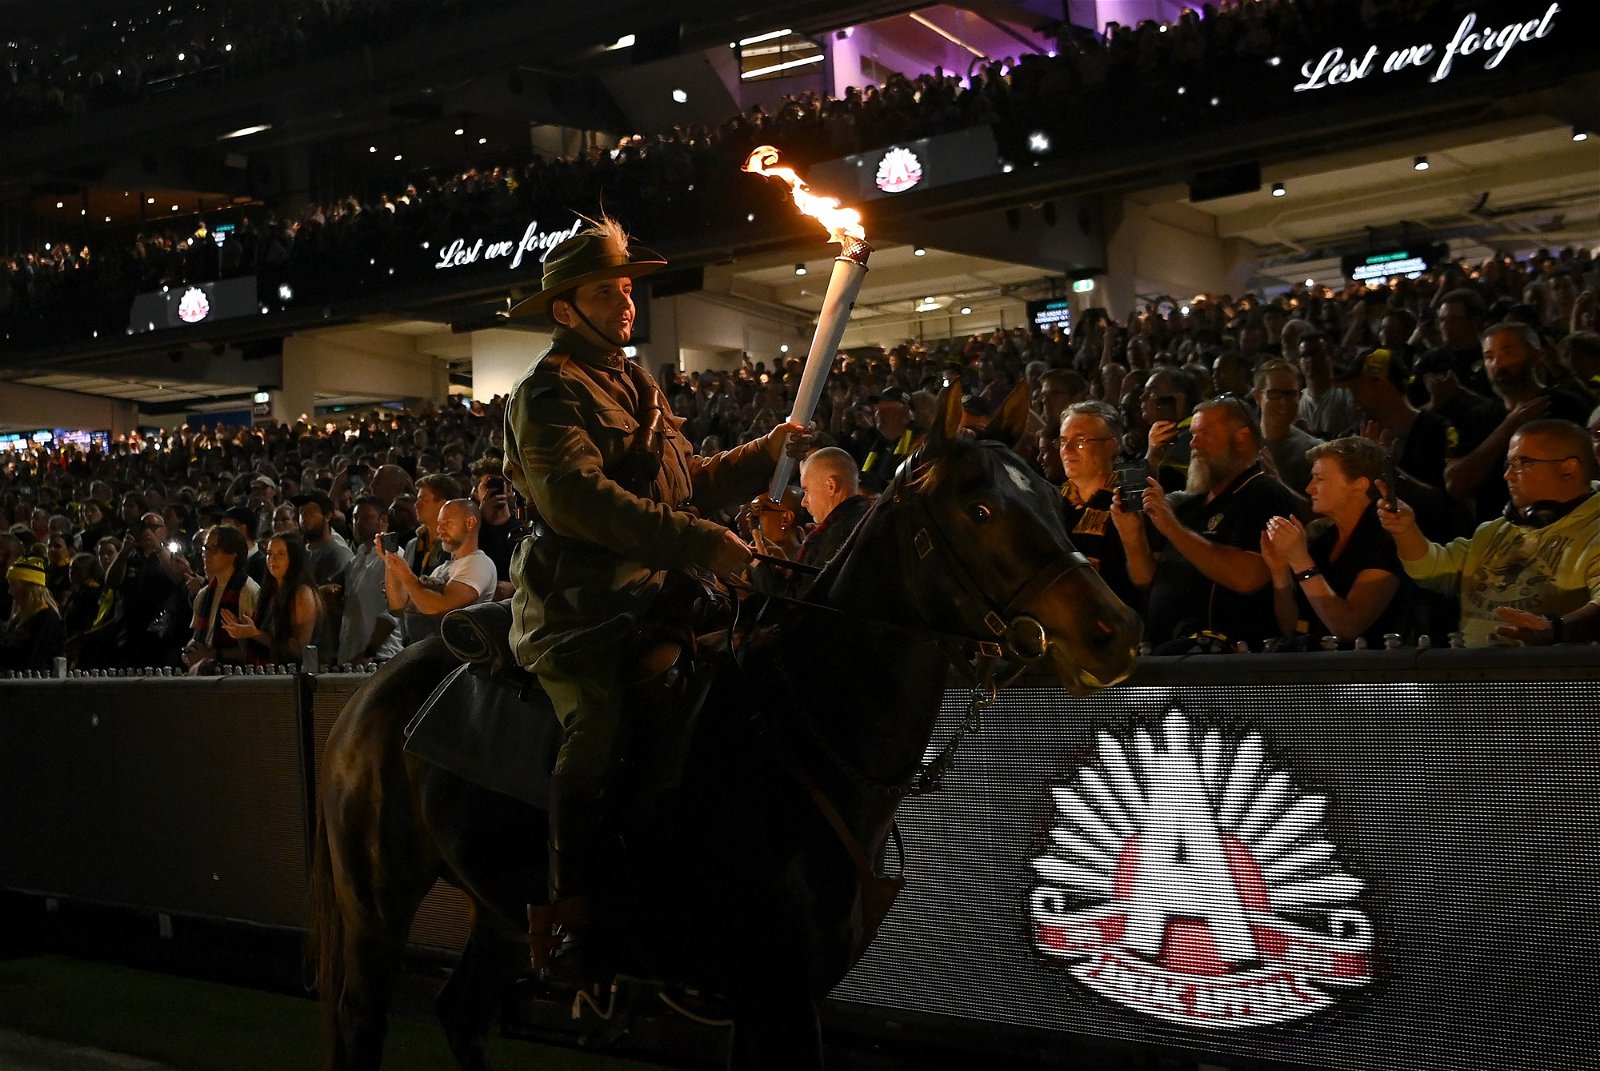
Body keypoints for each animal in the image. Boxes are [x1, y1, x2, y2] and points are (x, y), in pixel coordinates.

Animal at [312, 385, 1139, 1069]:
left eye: (1056, 498)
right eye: (980, 510)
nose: (1115, 634)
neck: (801, 731)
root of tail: (367, 695)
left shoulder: (779, 1001)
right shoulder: (774, 999)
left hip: (504, 912)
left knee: (461, 1012)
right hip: (379, 904)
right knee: (361, 1022)